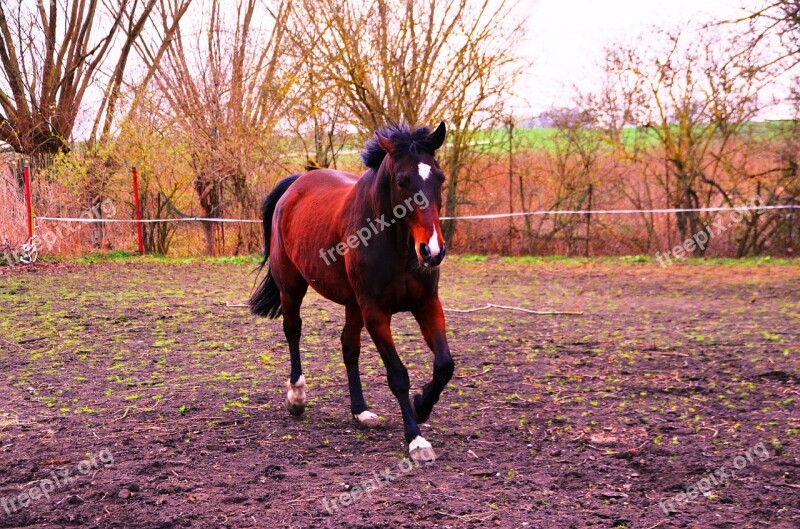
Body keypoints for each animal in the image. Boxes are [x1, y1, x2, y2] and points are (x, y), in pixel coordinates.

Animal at [247, 121, 454, 460]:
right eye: (402, 181)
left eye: (439, 177)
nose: (432, 250)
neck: (396, 246)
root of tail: (295, 185)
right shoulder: (376, 313)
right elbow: (398, 375)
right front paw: (415, 438)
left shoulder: (426, 304)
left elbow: (444, 365)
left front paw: (421, 406)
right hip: (292, 287)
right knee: (293, 330)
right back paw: (297, 397)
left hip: (352, 304)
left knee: (349, 347)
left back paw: (360, 410)